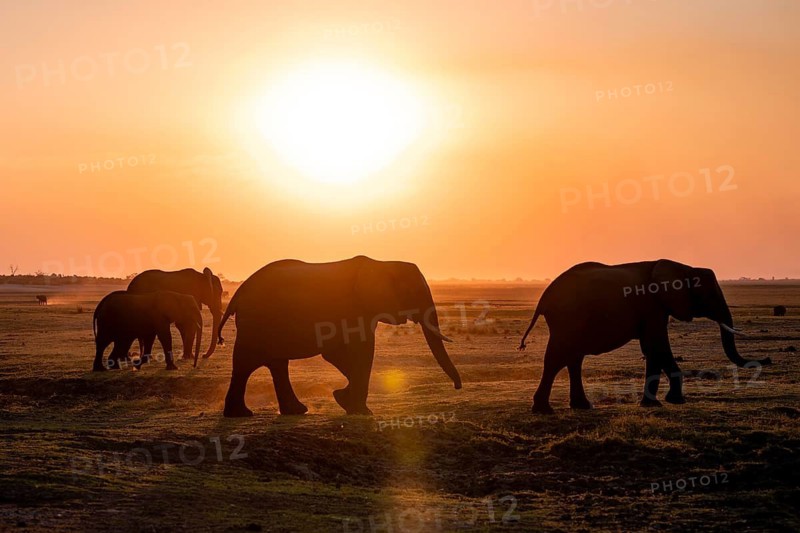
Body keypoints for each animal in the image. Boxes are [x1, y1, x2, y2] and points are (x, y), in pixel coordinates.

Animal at [217, 256, 462, 417]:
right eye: (414, 292)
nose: (457, 387)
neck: (382, 263)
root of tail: (237, 295)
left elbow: (339, 355)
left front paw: (342, 399)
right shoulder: (354, 310)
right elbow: (361, 351)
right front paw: (361, 411)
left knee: (275, 364)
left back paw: (293, 411)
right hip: (255, 324)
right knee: (246, 364)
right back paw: (241, 415)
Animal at [518, 259, 772, 414]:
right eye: (709, 295)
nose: (767, 360)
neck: (684, 267)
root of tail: (544, 299)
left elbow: (652, 348)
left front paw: (662, 402)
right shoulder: (653, 306)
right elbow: (657, 346)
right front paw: (664, 403)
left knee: (573, 359)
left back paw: (582, 406)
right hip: (567, 318)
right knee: (557, 358)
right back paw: (544, 410)